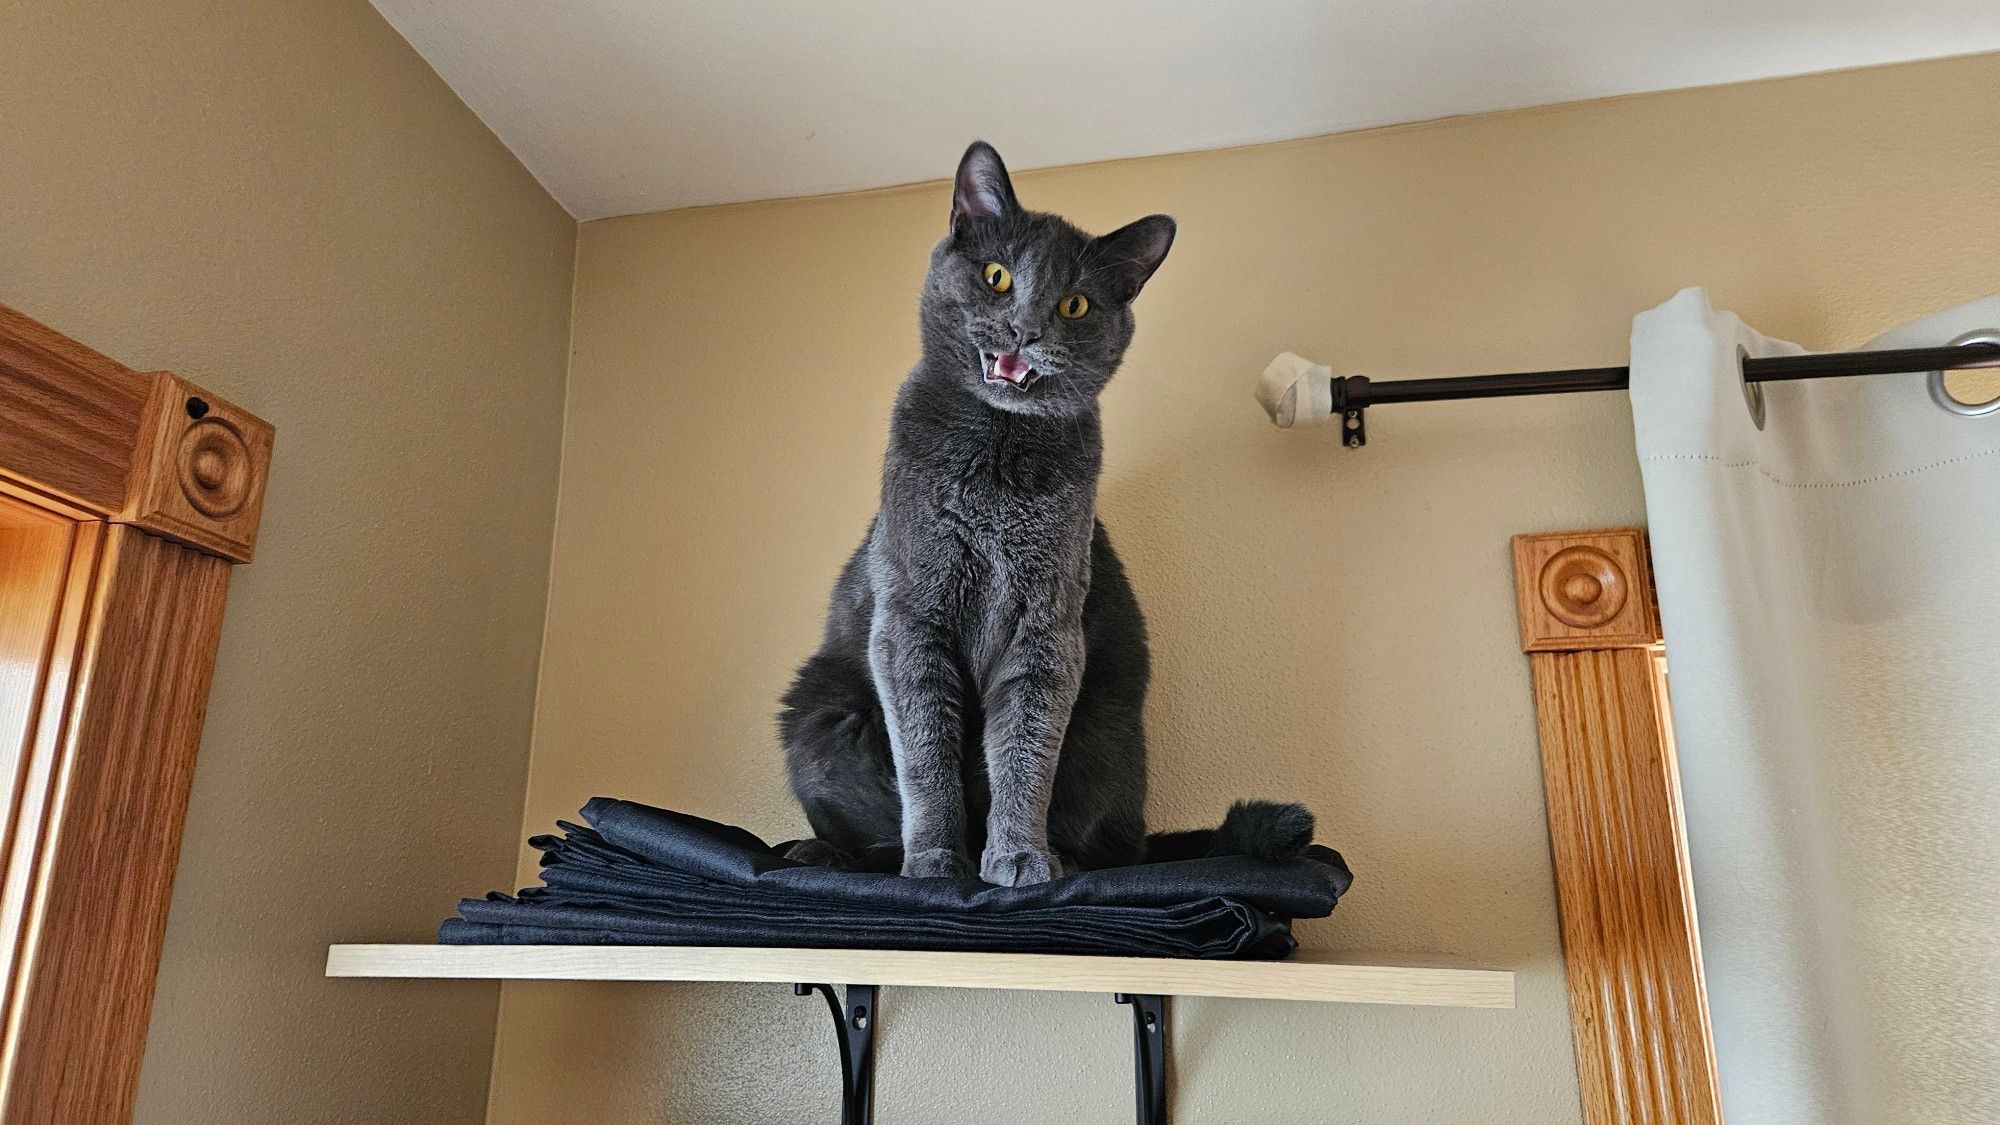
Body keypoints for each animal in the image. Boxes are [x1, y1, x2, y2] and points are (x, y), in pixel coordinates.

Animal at [780, 140, 1312, 880]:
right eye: (997, 276)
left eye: (1075, 304)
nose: (1024, 330)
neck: (996, 455)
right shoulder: (911, 615)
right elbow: (926, 756)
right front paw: (936, 862)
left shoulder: (1046, 625)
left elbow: (1025, 752)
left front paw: (1019, 857)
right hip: (820, 712)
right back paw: (824, 852)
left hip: (1103, 730)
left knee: (1110, 843)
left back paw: (1063, 858)